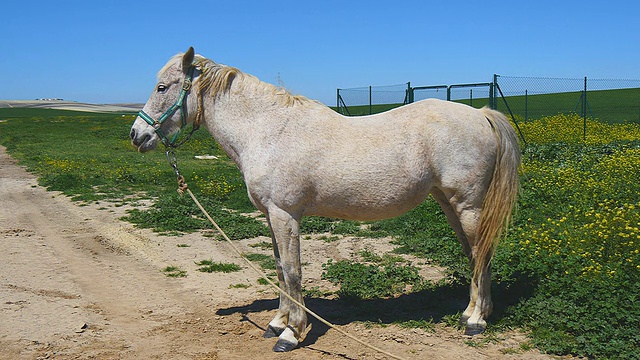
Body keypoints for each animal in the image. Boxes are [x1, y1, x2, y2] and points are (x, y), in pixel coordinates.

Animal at [129, 47, 520, 352]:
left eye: (162, 87)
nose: (137, 135)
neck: (266, 131)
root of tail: (480, 114)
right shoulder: (271, 215)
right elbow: (279, 269)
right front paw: (277, 321)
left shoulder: (285, 214)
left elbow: (292, 271)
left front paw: (291, 333)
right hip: (450, 204)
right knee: (474, 254)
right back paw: (471, 313)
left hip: (468, 205)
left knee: (481, 253)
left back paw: (476, 321)